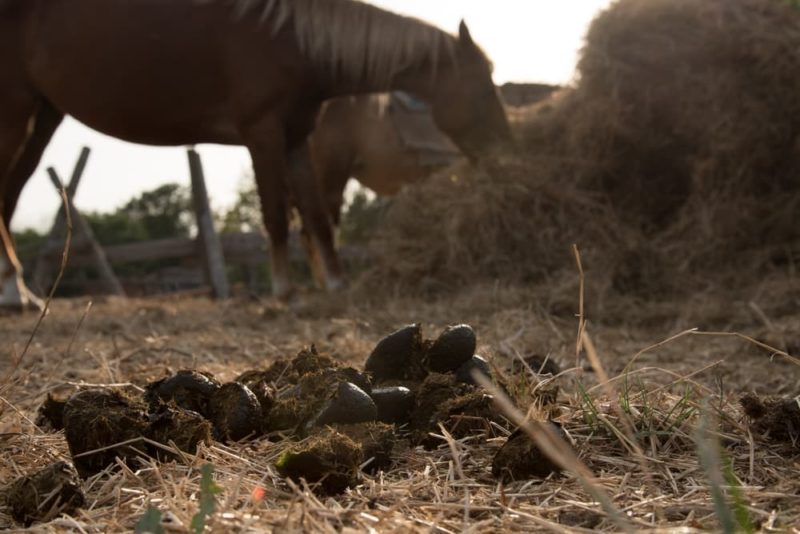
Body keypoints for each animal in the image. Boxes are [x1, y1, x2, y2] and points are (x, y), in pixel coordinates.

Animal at [0, 0, 511, 308]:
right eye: (485, 86)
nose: (505, 146)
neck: (293, 38)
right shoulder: (262, 133)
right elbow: (277, 216)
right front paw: (285, 292)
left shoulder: (297, 139)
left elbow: (317, 218)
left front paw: (335, 285)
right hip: (17, 111)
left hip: (44, 115)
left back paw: (18, 290)